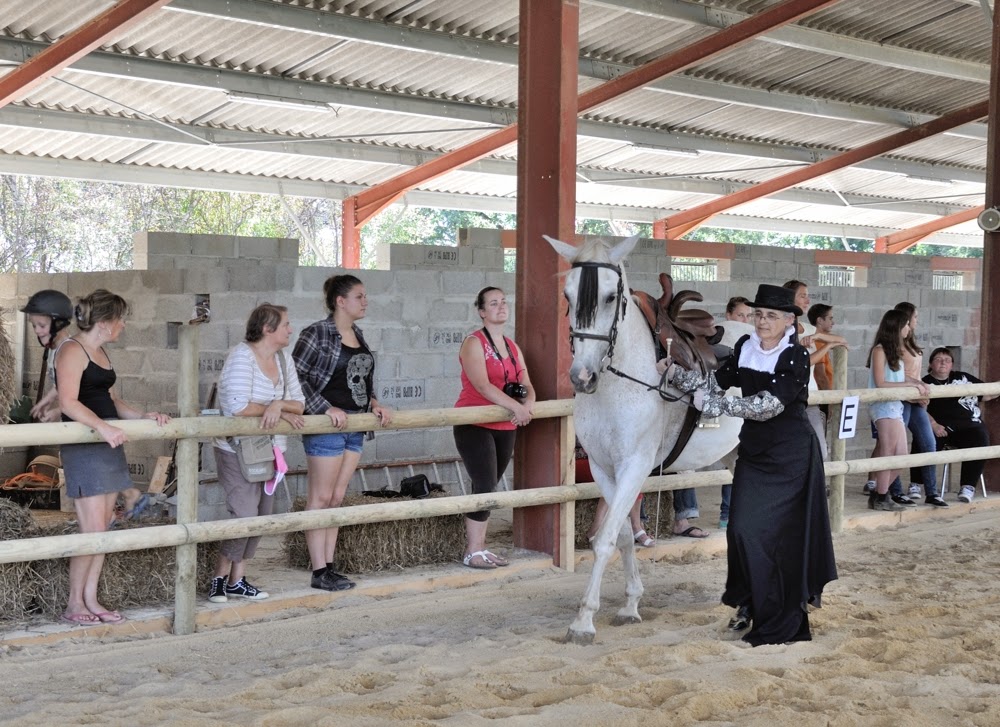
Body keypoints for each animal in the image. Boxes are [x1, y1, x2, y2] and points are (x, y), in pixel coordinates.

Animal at [545, 233, 744, 644]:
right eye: (568, 295)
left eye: (610, 296)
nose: (581, 376)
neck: (620, 383)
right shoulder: (604, 469)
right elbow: (621, 536)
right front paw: (631, 605)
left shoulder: (634, 467)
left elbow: (604, 539)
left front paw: (584, 620)